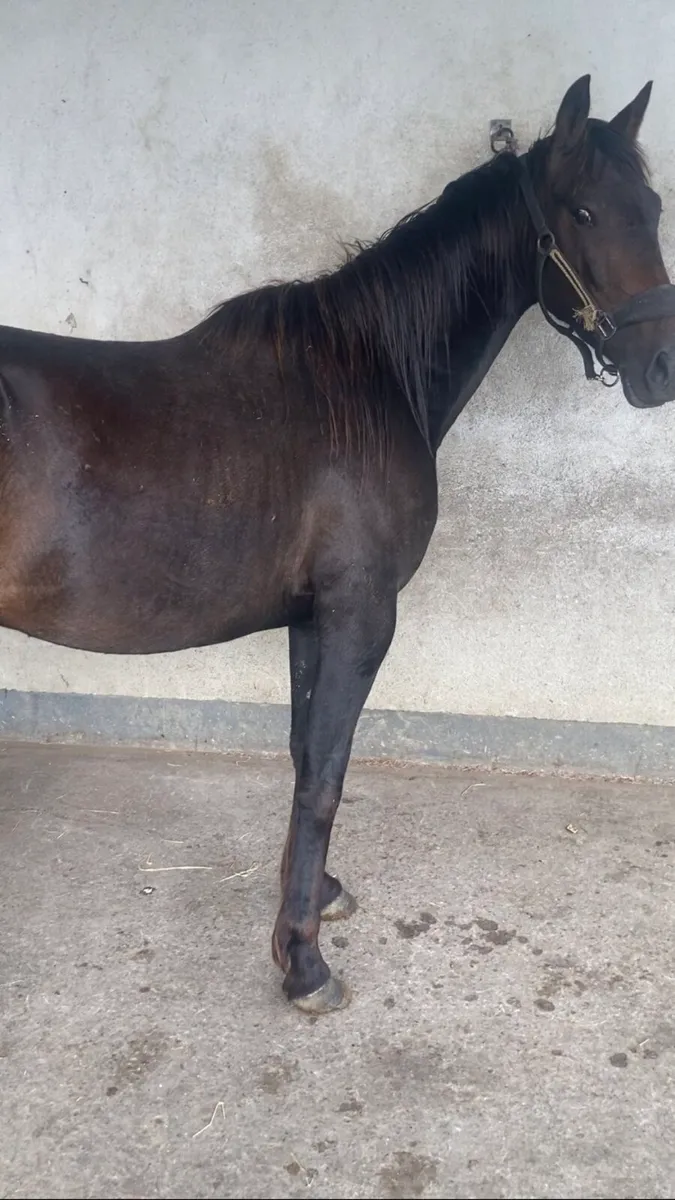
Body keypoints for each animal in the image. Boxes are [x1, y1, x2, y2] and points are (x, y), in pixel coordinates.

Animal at [2, 75, 675, 1016]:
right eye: (580, 211)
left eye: (651, 208)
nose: (661, 370)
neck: (366, 376)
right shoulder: (361, 614)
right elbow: (324, 777)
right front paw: (303, 962)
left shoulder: (311, 619)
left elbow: (299, 758)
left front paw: (312, 897)